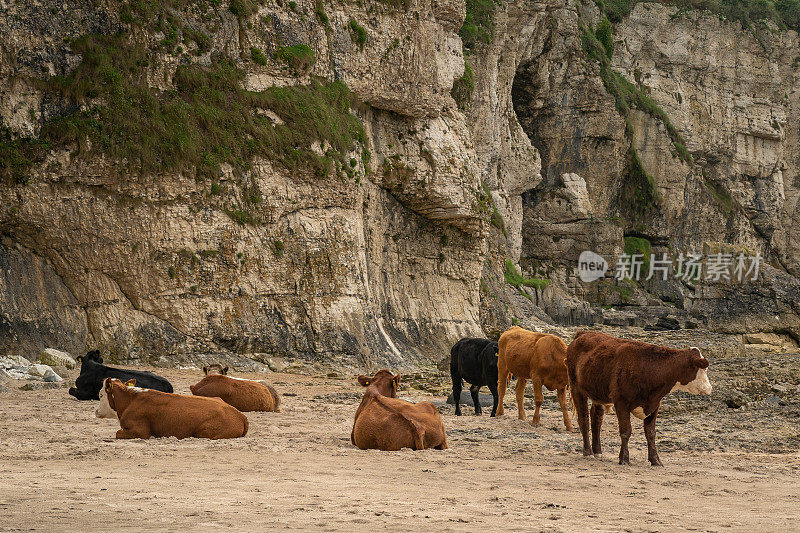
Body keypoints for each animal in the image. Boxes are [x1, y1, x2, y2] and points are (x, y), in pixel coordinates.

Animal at [96, 376, 248, 438]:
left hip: (205, 432)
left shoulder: (140, 431)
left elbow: (118, 433)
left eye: (101, 395)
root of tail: (239, 414)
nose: (96, 411)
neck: (131, 400)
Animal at [564, 330, 716, 464]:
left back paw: (598, 451)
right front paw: (624, 458)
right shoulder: (621, 402)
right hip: (576, 387)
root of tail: (583, 333)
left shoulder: (655, 404)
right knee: (584, 419)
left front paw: (655, 460)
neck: (649, 368)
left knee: (596, 419)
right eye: (703, 368)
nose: (709, 388)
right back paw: (588, 452)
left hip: (598, 393)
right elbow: (626, 431)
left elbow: (651, 433)